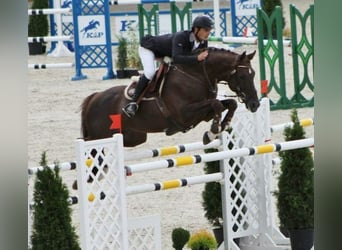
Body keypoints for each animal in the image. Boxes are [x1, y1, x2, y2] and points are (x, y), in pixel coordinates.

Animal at [80, 47, 260, 146]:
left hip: (134, 136)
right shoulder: (184, 114)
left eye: (253, 74)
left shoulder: (203, 113)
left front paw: (222, 126)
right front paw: (213, 132)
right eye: (242, 76)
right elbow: (217, 104)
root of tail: (94, 98)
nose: (255, 104)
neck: (196, 76)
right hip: (100, 136)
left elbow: (228, 104)